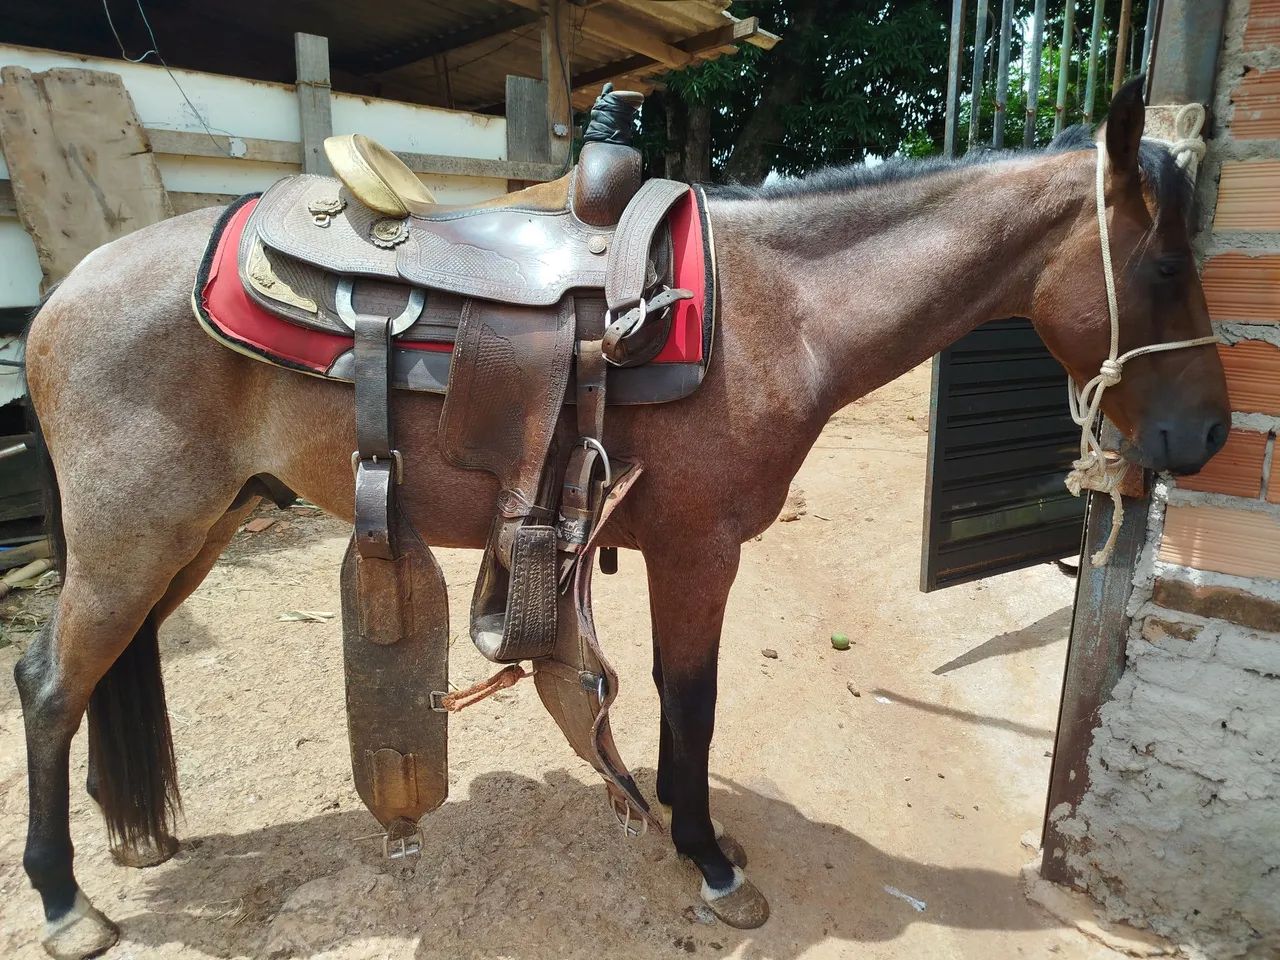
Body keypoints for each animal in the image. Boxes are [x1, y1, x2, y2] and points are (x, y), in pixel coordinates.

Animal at [15, 80, 1228, 958]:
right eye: (1167, 262)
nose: (1209, 434)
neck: (777, 308)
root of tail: (66, 289)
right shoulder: (698, 552)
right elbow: (690, 702)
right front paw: (708, 860)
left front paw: (697, 833)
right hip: (139, 537)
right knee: (51, 685)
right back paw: (64, 900)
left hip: (195, 531)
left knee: (98, 672)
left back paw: (134, 836)